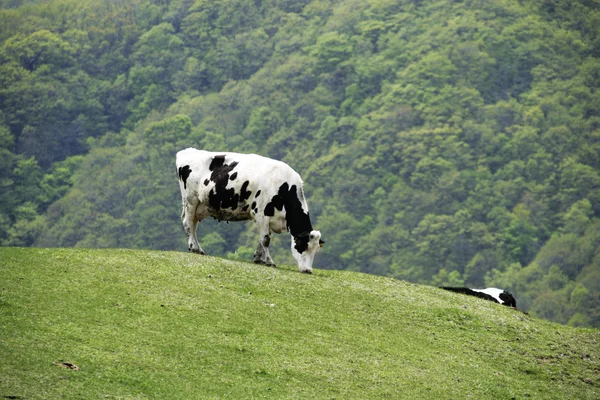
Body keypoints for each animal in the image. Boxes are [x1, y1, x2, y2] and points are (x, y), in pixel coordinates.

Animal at [176, 148, 324, 274]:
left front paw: (258, 259)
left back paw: (198, 248)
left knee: (193, 225)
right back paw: (194, 248)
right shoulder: (261, 214)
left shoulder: (269, 218)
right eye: (303, 246)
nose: (308, 271)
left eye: (316, 249)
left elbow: (262, 239)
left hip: (200, 205)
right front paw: (269, 262)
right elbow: (265, 240)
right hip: (190, 199)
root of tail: (186, 151)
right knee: (188, 223)